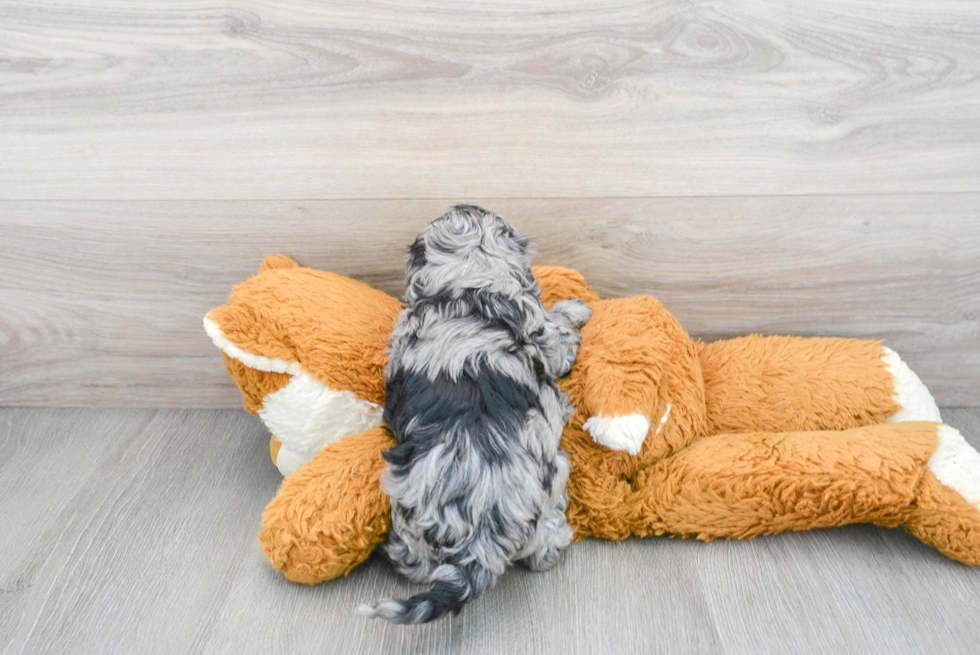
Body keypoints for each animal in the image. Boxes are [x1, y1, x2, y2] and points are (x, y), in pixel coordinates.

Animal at [360, 205, 588, 624]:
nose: (465, 205)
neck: (466, 289)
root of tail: (479, 535)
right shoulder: (543, 335)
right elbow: (559, 329)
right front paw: (576, 307)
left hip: (409, 519)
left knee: (413, 562)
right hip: (553, 480)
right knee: (545, 547)